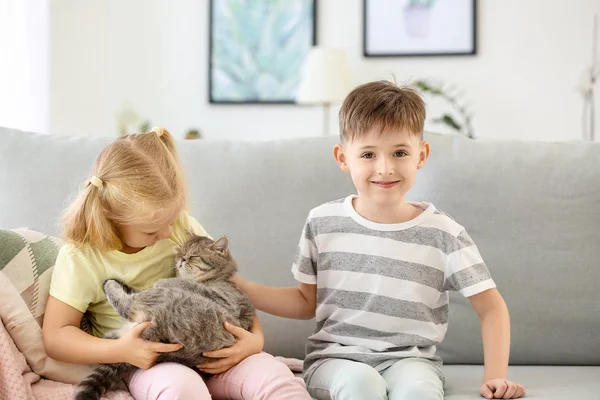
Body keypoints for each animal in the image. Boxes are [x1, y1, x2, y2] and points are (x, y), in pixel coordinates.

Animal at [74, 234, 254, 400]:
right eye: (182, 252)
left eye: (193, 256)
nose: (182, 259)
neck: (218, 278)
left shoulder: (224, 299)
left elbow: (185, 283)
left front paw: (165, 281)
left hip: (163, 299)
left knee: (127, 305)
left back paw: (110, 284)